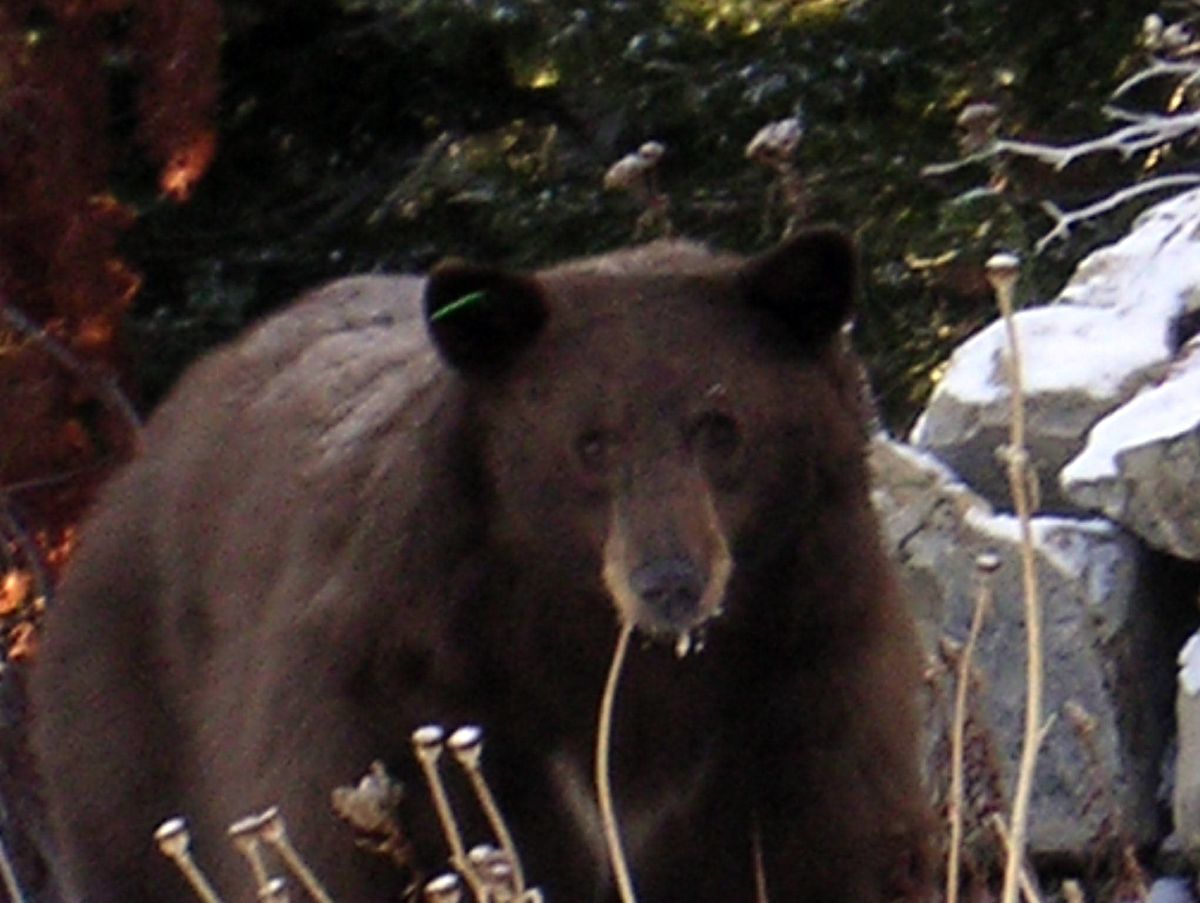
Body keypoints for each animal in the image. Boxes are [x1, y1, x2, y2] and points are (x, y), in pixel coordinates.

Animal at [30, 228, 932, 903]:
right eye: (591, 441)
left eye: (722, 427)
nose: (671, 581)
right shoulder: (404, 684)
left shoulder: (805, 682)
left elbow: (821, 845)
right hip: (124, 737)